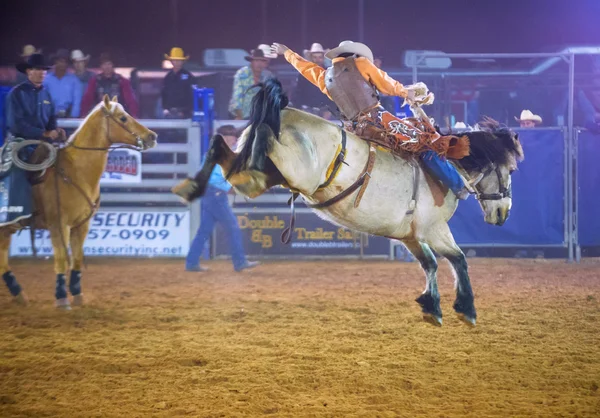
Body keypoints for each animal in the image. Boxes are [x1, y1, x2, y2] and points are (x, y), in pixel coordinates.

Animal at [1, 95, 157, 310]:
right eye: (123, 118)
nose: (152, 136)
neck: (75, 171)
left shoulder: (82, 225)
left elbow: (76, 259)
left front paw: (77, 295)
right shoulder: (59, 225)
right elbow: (61, 259)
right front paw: (61, 298)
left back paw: (19, 294)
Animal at [176, 79, 524, 326]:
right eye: (510, 171)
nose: (504, 214)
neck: (446, 162)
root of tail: (283, 112)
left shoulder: (409, 235)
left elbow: (430, 263)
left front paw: (431, 306)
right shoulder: (433, 229)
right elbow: (457, 259)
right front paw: (466, 309)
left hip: (261, 175)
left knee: (221, 146)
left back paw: (191, 186)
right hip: (290, 171)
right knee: (256, 139)